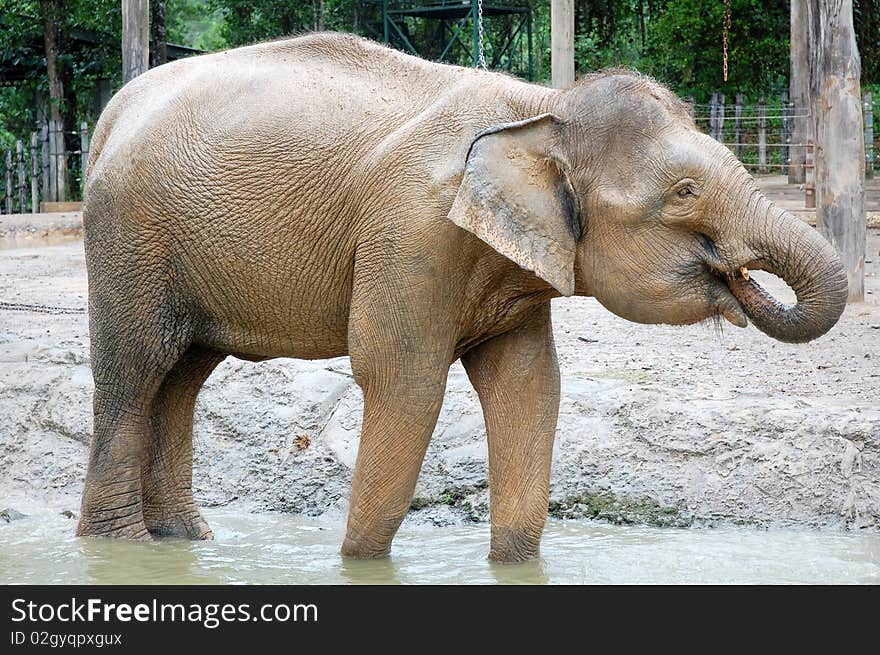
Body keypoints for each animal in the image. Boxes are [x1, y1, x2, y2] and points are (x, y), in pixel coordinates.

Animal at [79, 33, 848, 560]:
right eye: (685, 192)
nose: (741, 278)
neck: (541, 108)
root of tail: (112, 113)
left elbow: (529, 382)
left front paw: (515, 563)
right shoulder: (411, 232)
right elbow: (404, 380)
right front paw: (359, 563)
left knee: (182, 375)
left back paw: (185, 541)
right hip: (129, 239)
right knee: (134, 371)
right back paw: (123, 550)